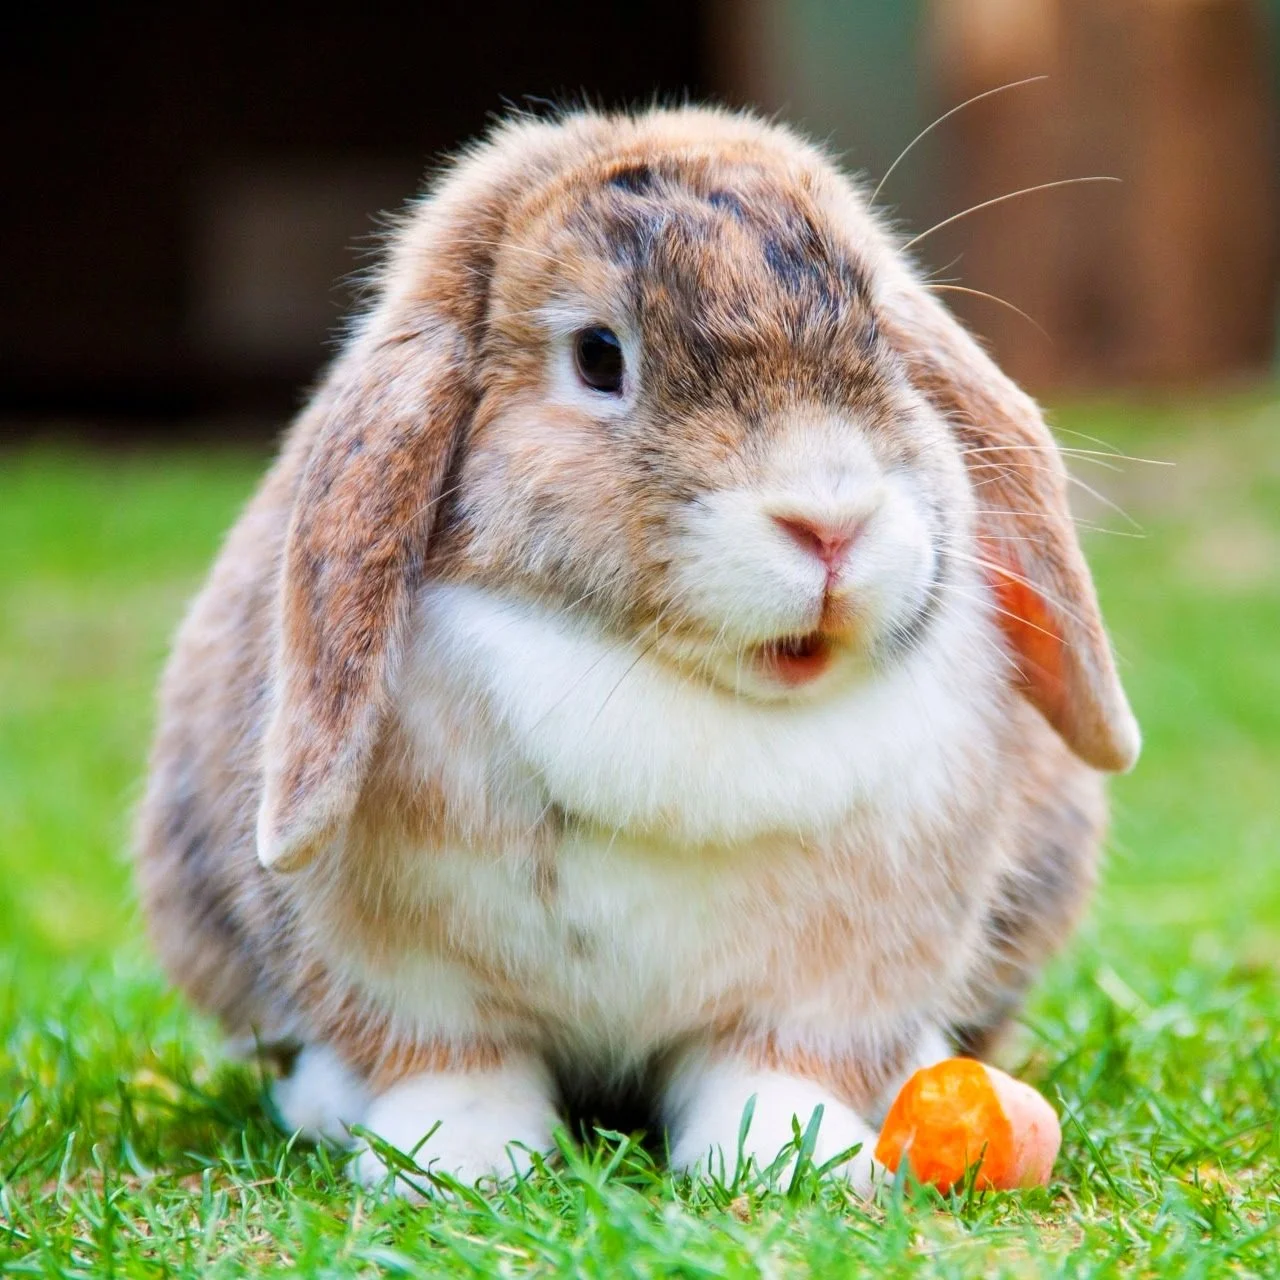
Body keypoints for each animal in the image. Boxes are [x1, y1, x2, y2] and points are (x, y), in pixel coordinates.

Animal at [134, 105, 1139, 1194]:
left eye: (880, 333)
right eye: (598, 357)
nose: (830, 523)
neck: (674, 688)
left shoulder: (833, 981)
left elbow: (775, 1066)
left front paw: (790, 1161)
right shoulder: (407, 975)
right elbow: (451, 1061)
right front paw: (456, 1162)